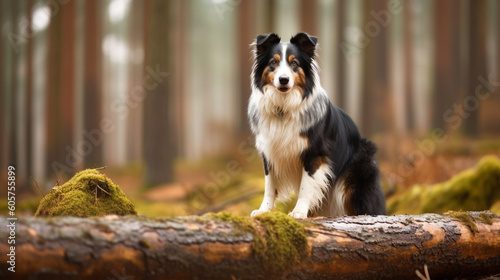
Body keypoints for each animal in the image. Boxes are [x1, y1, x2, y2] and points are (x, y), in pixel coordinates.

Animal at [248, 31, 384, 218]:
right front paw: (264, 210)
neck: (284, 107)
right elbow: (269, 184)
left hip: (355, 181)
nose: (283, 80)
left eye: (294, 63)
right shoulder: (269, 151)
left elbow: (306, 186)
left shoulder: (315, 153)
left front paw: (298, 212)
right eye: (273, 62)